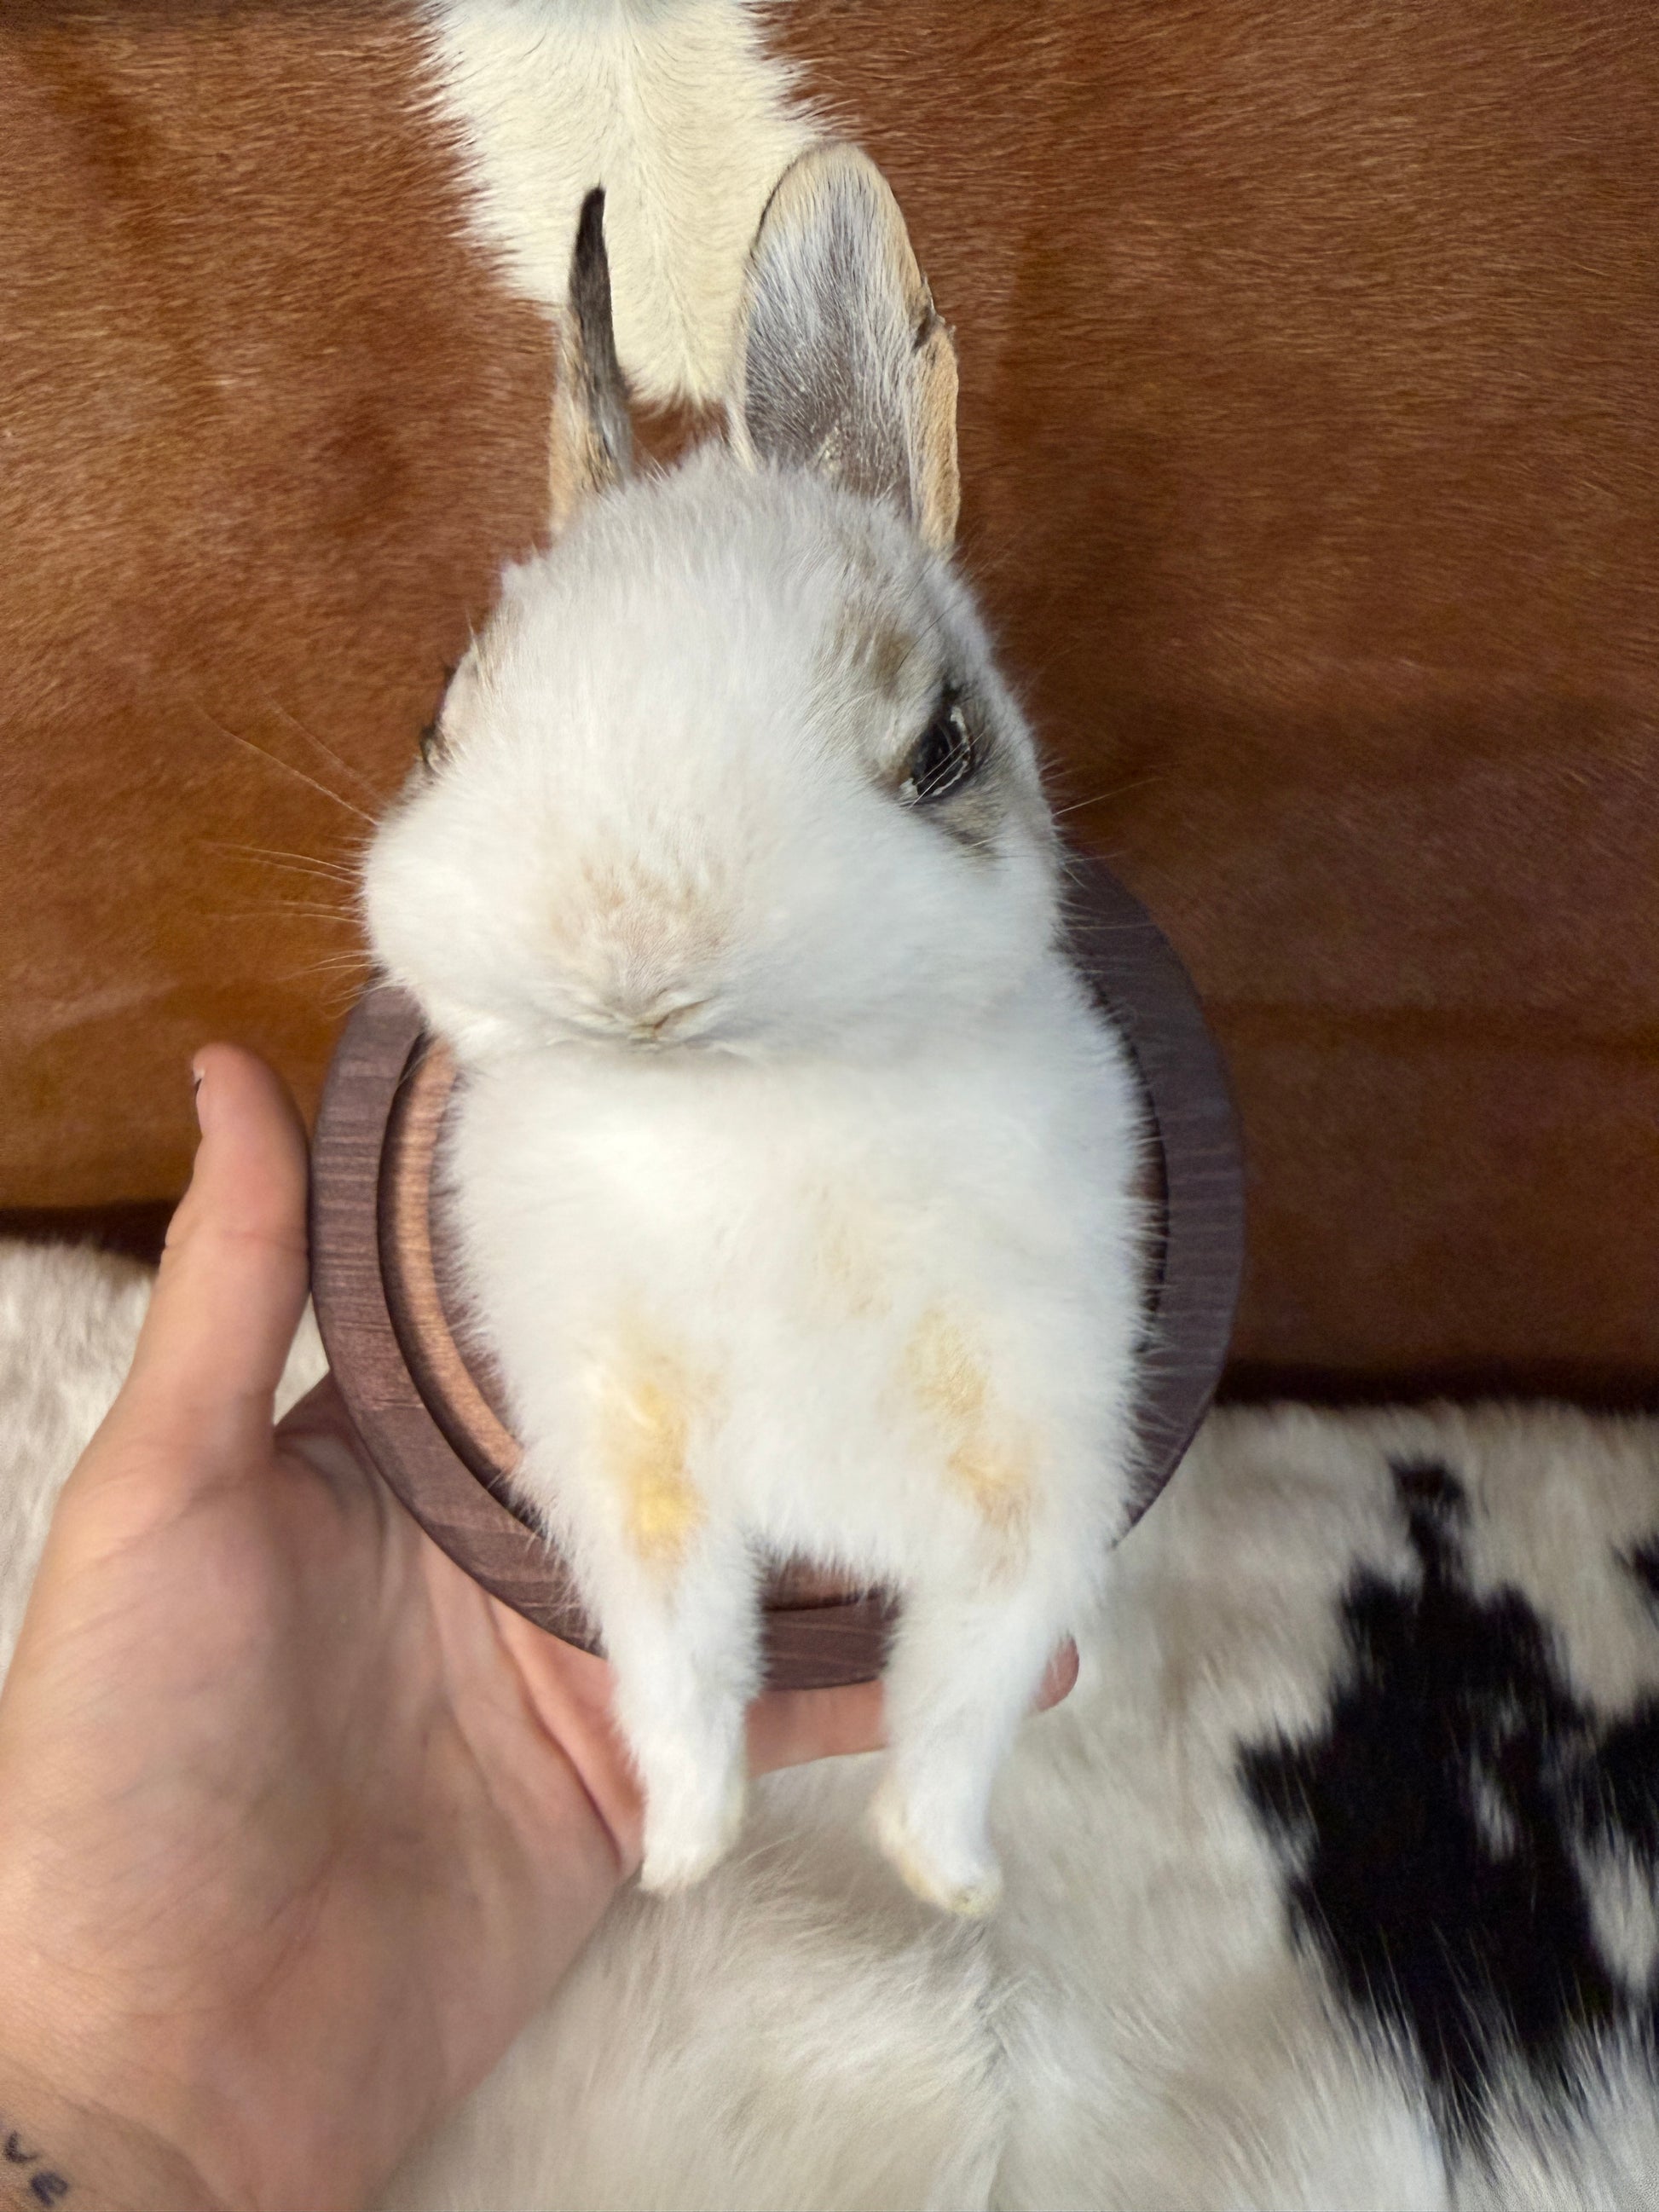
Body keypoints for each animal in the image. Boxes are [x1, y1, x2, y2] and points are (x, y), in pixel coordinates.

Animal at [362, 147, 1147, 1917]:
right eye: (442, 712)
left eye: (942, 748)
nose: (638, 962)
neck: (744, 1107)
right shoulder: (623, 1472)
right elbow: (680, 1673)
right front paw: (688, 1851)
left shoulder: (1042, 1468)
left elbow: (966, 1692)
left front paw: (944, 1876)